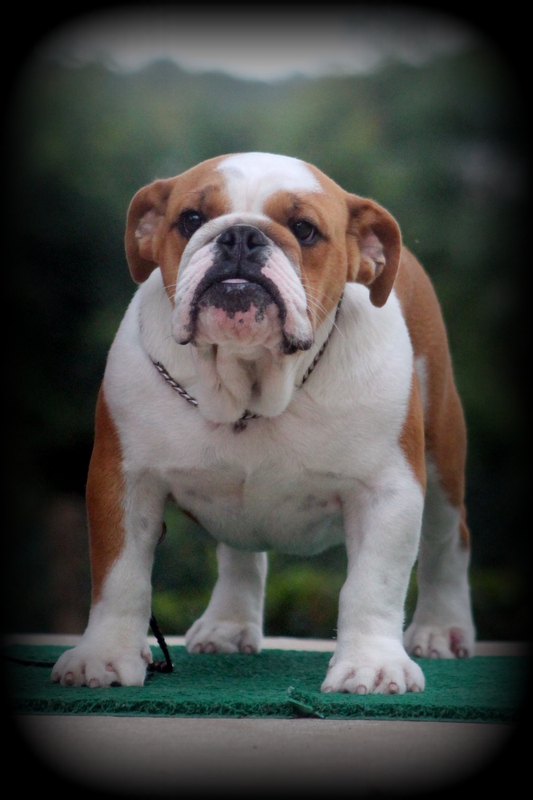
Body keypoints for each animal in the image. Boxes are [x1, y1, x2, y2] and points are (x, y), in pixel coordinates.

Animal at [52, 152, 475, 694]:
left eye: (305, 230)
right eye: (191, 218)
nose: (240, 236)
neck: (250, 381)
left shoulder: (388, 489)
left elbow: (373, 584)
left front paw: (371, 664)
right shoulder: (123, 480)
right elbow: (119, 573)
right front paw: (104, 655)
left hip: (441, 460)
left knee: (448, 542)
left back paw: (442, 629)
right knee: (240, 551)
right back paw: (228, 624)